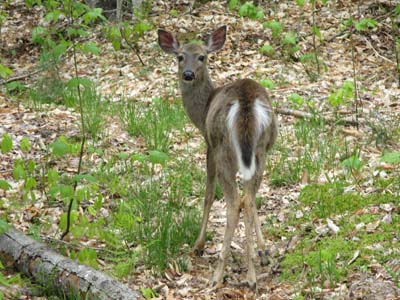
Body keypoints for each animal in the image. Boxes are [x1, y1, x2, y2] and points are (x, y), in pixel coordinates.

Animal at [158, 26, 276, 290]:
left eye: (202, 56)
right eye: (180, 56)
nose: (188, 74)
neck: (202, 113)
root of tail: (245, 103)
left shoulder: (209, 147)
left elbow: (208, 195)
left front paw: (198, 245)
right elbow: (253, 201)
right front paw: (263, 251)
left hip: (224, 150)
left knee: (234, 203)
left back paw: (220, 274)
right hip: (260, 150)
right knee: (249, 199)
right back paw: (252, 273)